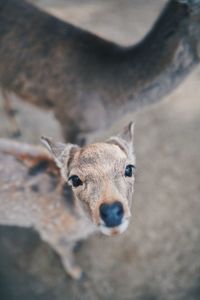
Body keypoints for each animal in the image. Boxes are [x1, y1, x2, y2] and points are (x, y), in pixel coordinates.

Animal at [0, 122, 136, 278]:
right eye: (75, 179)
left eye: (129, 168)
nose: (112, 211)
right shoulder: (50, 232)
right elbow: (66, 253)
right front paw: (76, 273)